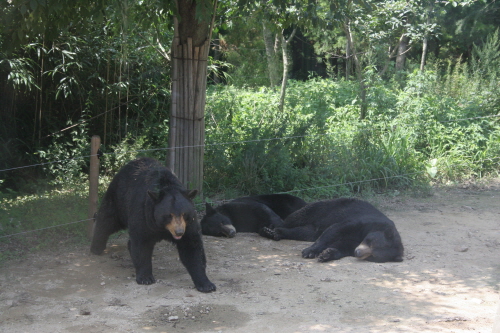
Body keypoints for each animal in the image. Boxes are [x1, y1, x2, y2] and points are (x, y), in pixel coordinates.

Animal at [91, 157, 216, 292]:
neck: (162, 227)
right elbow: (141, 243)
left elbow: (192, 247)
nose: (179, 232)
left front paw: (206, 284)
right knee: (107, 219)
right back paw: (96, 247)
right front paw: (145, 277)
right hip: (118, 197)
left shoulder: (189, 224)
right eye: (169, 215)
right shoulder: (143, 213)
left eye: (184, 214)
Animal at [260, 197, 404, 262]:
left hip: (313, 227)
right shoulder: (362, 222)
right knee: (296, 218)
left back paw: (275, 233)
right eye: (371, 242)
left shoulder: (354, 241)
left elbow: (344, 247)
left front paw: (327, 254)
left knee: (304, 232)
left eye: (373, 256)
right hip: (323, 208)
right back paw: (269, 230)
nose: (358, 252)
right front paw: (310, 251)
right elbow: (335, 230)